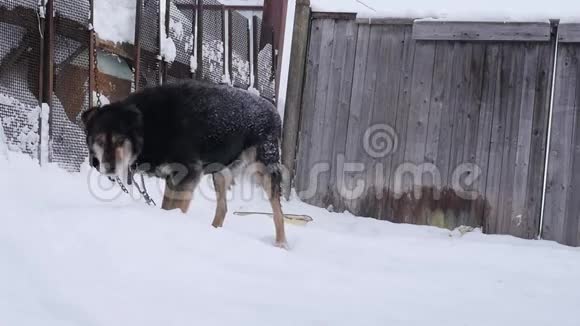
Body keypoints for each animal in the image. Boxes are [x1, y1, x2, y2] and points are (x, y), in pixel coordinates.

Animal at [81, 79, 288, 247]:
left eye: (119, 141)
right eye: (99, 141)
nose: (109, 168)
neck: (147, 126)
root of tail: (273, 110)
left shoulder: (187, 175)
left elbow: (175, 209)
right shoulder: (172, 178)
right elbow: (166, 207)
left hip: (263, 169)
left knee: (278, 211)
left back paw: (281, 243)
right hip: (220, 174)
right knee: (223, 208)